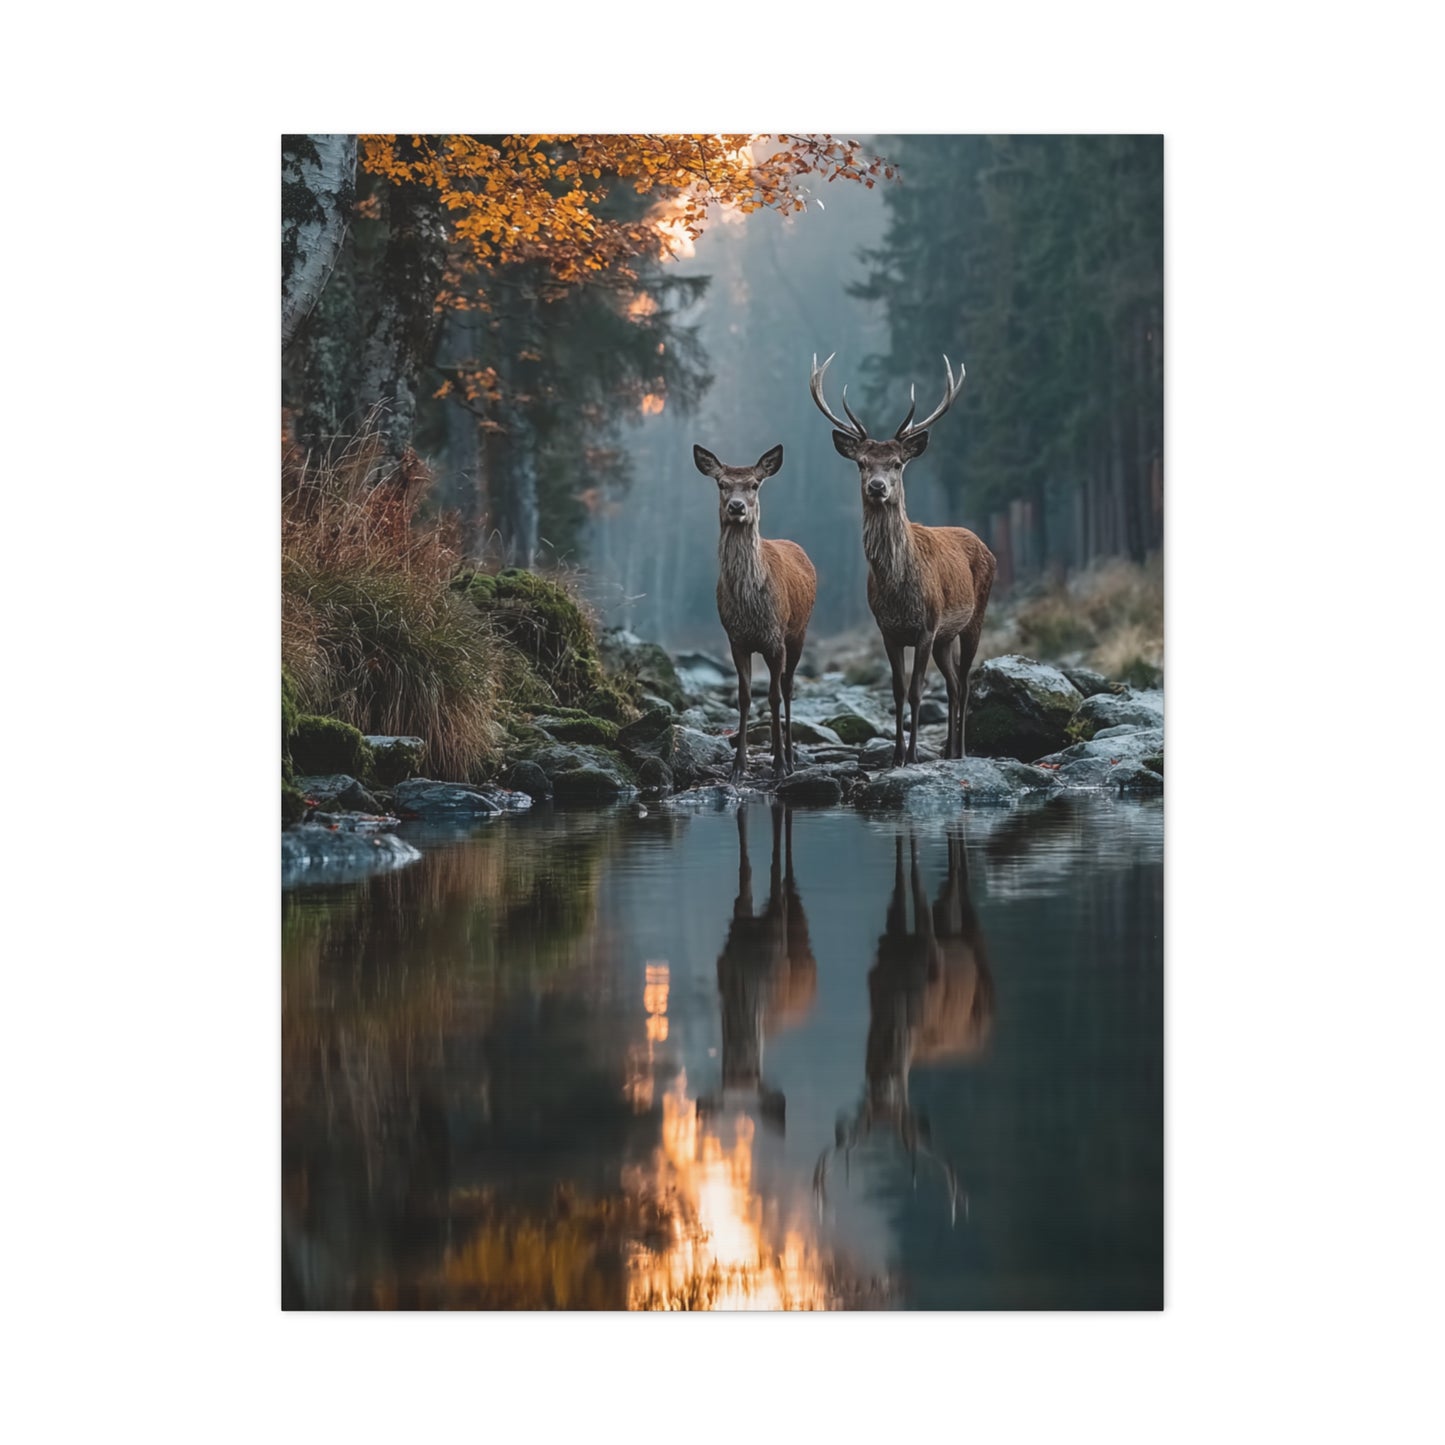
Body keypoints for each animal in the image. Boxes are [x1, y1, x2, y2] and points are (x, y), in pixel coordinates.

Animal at [693, 443, 817, 782]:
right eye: (722, 484)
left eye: (754, 484)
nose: (736, 507)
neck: (751, 608)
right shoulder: (737, 640)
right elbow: (745, 696)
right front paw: (738, 766)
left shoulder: (775, 638)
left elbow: (773, 696)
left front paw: (781, 766)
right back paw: (775, 748)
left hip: (799, 633)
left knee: (787, 688)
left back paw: (788, 754)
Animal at [809, 354, 997, 766]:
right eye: (862, 463)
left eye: (896, 463)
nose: (877, 487)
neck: (899, 591)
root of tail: (983, 544)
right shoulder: (888, 630)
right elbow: (896, 691)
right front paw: (895, 755)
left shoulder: (926, 626)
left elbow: (916, 690)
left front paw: (911, 756)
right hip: (946, 637)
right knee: (954, 685)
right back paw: (950, 750)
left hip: (974, 616)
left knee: (965, 680)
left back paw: (960, 750)